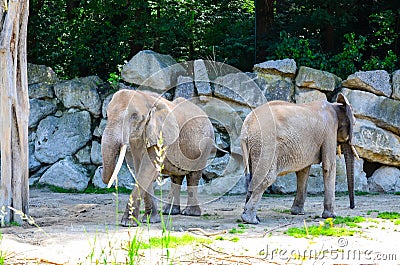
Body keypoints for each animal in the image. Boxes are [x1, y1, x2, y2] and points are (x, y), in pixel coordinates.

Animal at [101, 89, 216, 226]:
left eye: (134, 116)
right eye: (107, 115)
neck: (146, 98)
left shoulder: (162, 134)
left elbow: (147, 169)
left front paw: (127, 223)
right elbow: (141, 169)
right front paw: (150, 220)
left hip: (205, 145)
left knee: (193, 175)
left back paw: (190, 213)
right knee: (176, 177)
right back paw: (170, 212)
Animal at [241, 93, 360, 223]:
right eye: (354, 124)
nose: (352, 207)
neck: (336, 105)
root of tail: (247, 125)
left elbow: (303, 171)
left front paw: (297, 213)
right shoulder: (329, 131)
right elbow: (329, 166)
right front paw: (331, 216)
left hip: (255, 146)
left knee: (252, 176)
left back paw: (251, 217)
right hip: (266, 144)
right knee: (266, 178)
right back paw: (251, 220)